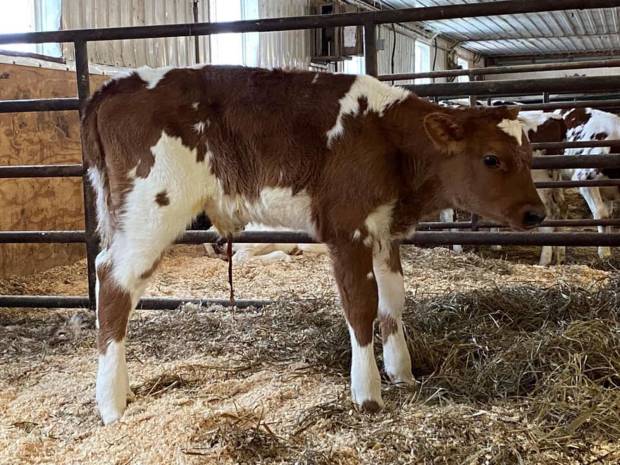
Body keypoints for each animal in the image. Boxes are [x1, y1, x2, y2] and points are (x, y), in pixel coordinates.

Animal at [81, 65, 544, 424]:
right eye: (491, 158)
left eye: (529, 157)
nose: (536, 214)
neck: (387, 138)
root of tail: (116, 86)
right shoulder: (347, 229)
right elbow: (361, 306)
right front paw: (368, 393)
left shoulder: (383, 232)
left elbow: (393, 301)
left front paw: (403, 373)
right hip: (154, 209)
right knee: (115, 283)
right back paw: (112, 404)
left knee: (107, 273)